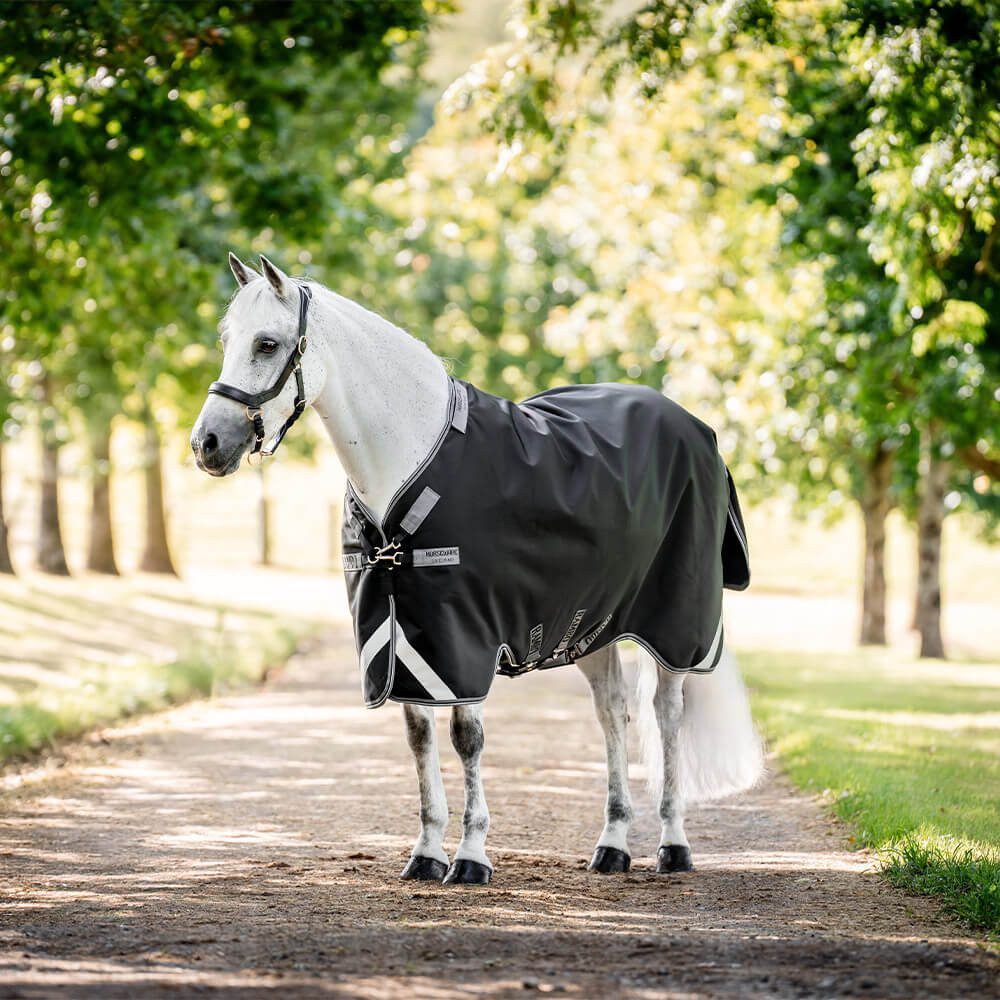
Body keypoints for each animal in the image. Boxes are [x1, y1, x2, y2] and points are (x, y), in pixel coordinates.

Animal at [191, 253, 764, 885]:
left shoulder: (462, 636)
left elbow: (467, 738)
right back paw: (612, 846)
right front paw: (426, 852)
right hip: (594, 626)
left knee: (667, 714)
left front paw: (470, 856)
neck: (408, 459)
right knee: (613, 713)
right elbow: (419, 736)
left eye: (267, 343)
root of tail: (698, 430)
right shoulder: (404, 637)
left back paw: (673, 844)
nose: (207, 443)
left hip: (674, 628)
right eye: (226, 339)